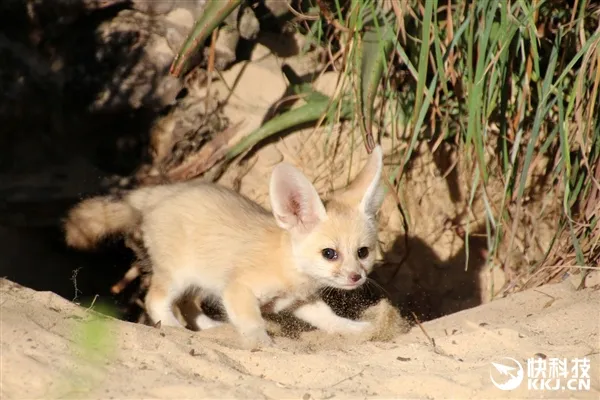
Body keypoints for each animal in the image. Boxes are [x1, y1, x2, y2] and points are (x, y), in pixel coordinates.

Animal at [64, 145, 384, 346]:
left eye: (363, 253)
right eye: (329, 254)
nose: (357, 277)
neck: (287, 263)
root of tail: (158, 193)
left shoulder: (300, 302)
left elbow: (329, 319)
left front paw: (355, 329)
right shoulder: (237, 290)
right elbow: (253, 323)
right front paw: (264, 344)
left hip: (201, 279)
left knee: (189, 306)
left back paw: (211, 329)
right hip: (177, 276)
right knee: (155, 301)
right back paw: (175, 329)